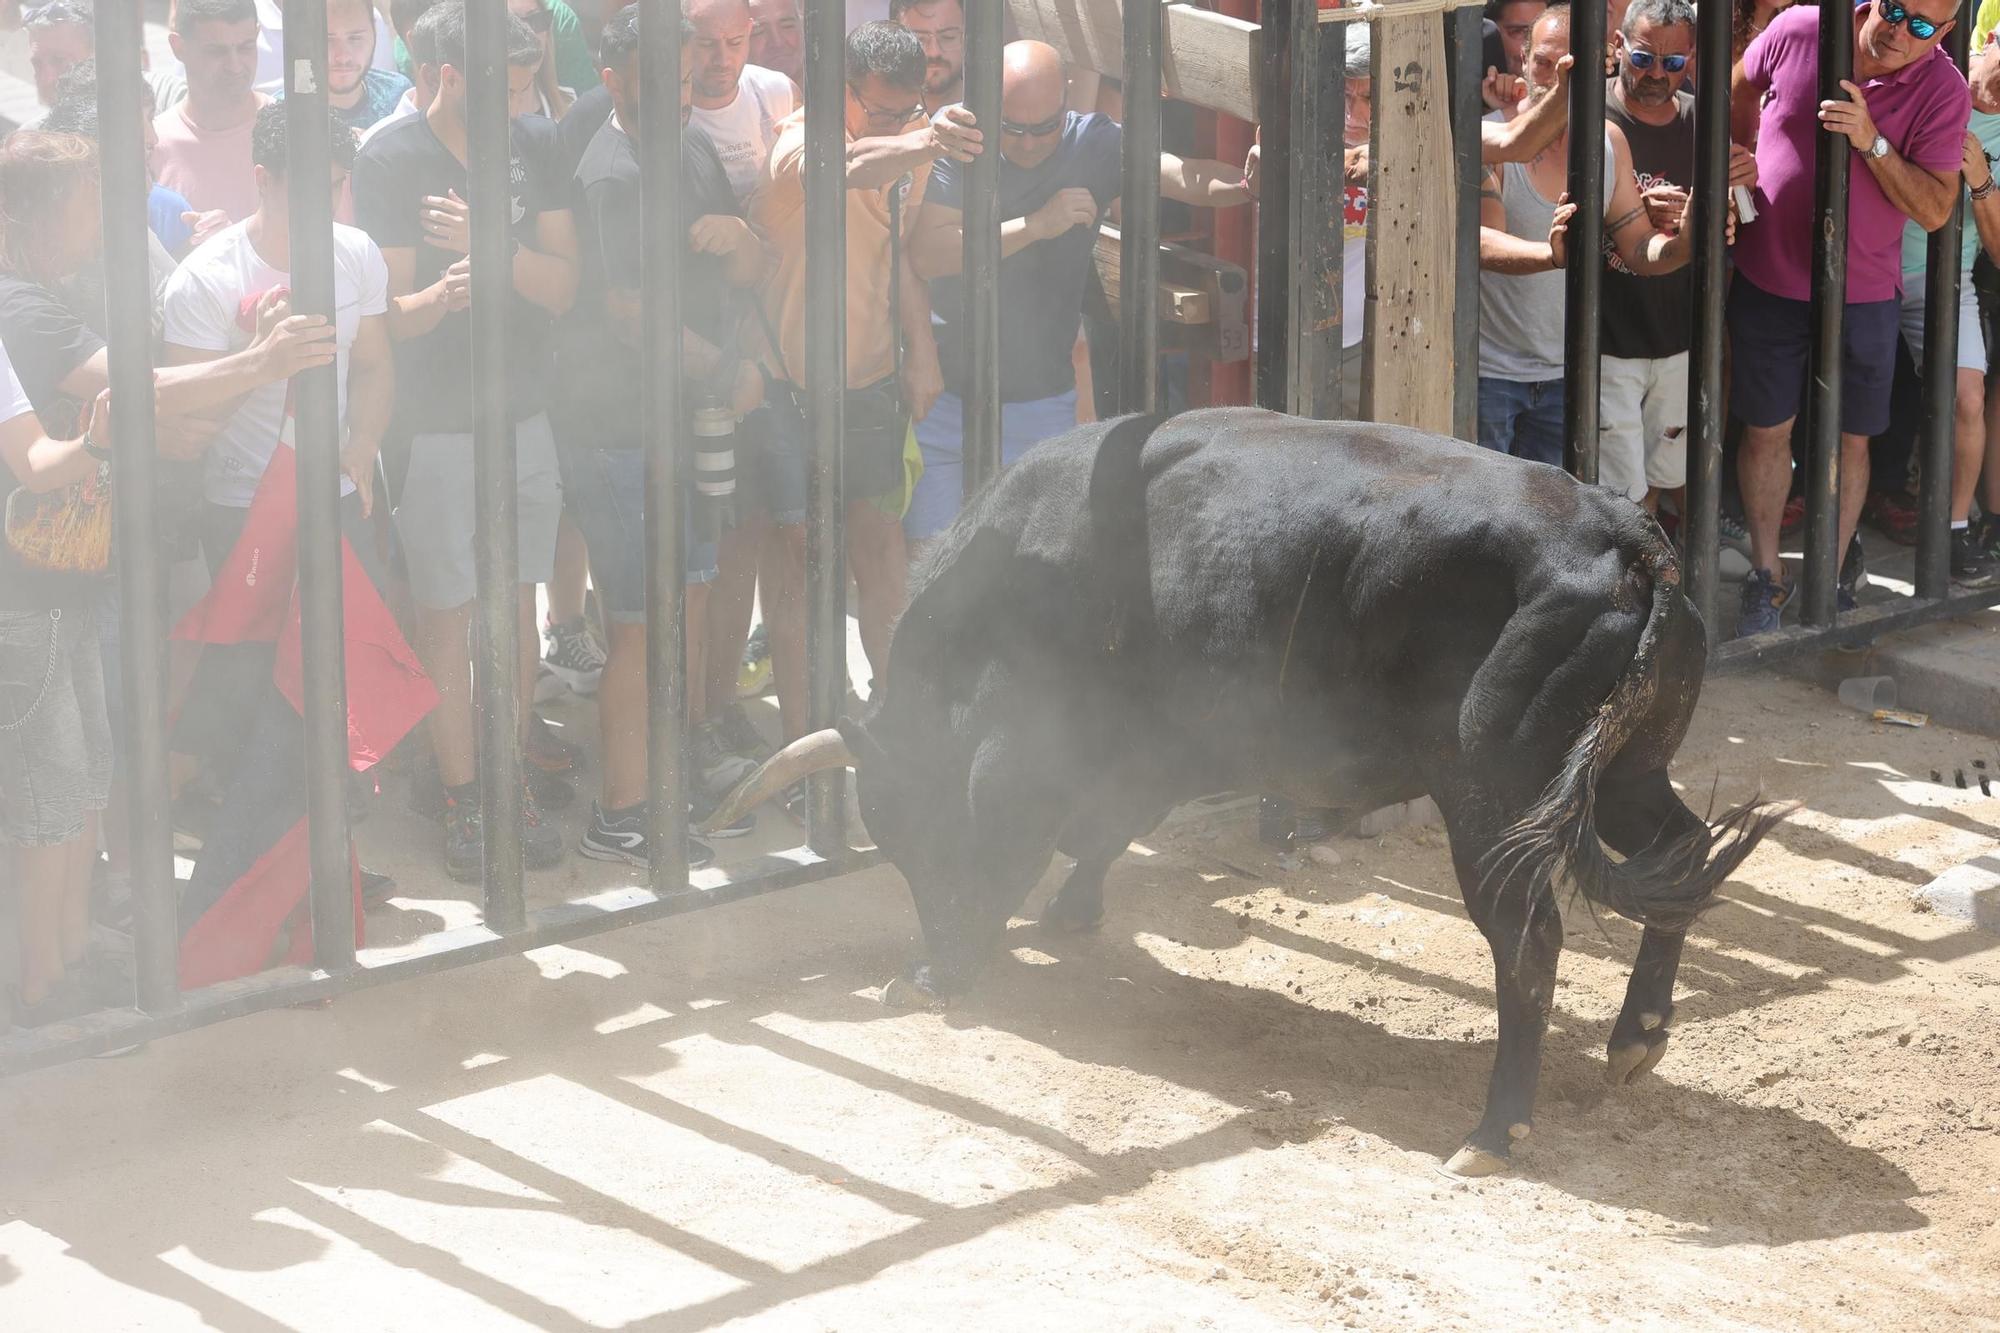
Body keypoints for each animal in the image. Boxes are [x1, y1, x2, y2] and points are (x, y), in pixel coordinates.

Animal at [712, 410, 1792, 1168]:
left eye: (917, 831)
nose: (930, 954)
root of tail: (1625, 537)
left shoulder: (1043, 760)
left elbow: (1042, 841)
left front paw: (944, 970)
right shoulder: (1152, 754)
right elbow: (1102, 832)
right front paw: (1062, 916)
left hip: (1492, 800)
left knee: (1527, 941)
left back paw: (1493, 1131)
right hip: (1624, 772)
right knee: (1681, 854)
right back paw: (1636, 1036)